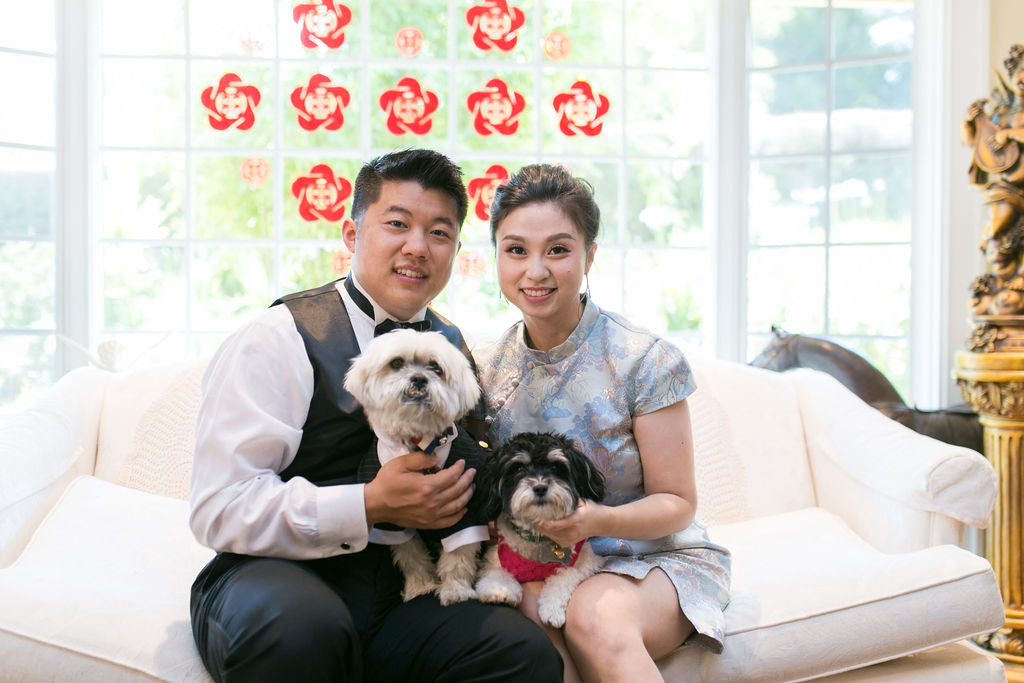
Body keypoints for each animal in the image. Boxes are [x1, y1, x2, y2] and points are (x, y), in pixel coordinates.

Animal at [344, 329, 487, 602]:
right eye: (397, 363)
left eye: (435, 367)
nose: (419, 378)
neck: (418, 440)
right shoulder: (391, 519)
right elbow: (410, 556)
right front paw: (420, 586)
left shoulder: (468, 509)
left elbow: (458, 555)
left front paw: (455, 589)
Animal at [473, 432, 606, 630]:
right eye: (518, 468)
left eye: (555, 466)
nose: (540, 487)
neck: (536, 536)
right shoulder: (494, 555)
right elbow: (495, 572)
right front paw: (500, 590)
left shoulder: (586, 559)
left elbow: (564, 576)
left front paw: (551, 609)